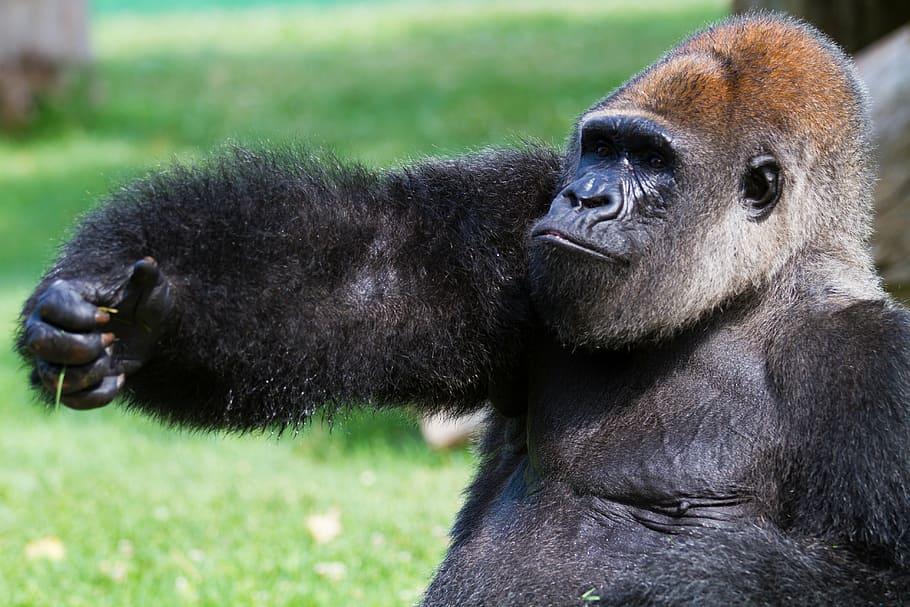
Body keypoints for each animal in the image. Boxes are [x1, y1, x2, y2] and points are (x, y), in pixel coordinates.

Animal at [17, 13, 910, 605]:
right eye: (602, 148)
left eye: (651, 162)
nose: (584, 198)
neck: (742, 296)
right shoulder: (524, 204)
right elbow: (372, 270)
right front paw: (134, 320)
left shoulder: (882, 372)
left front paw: (690, 579)